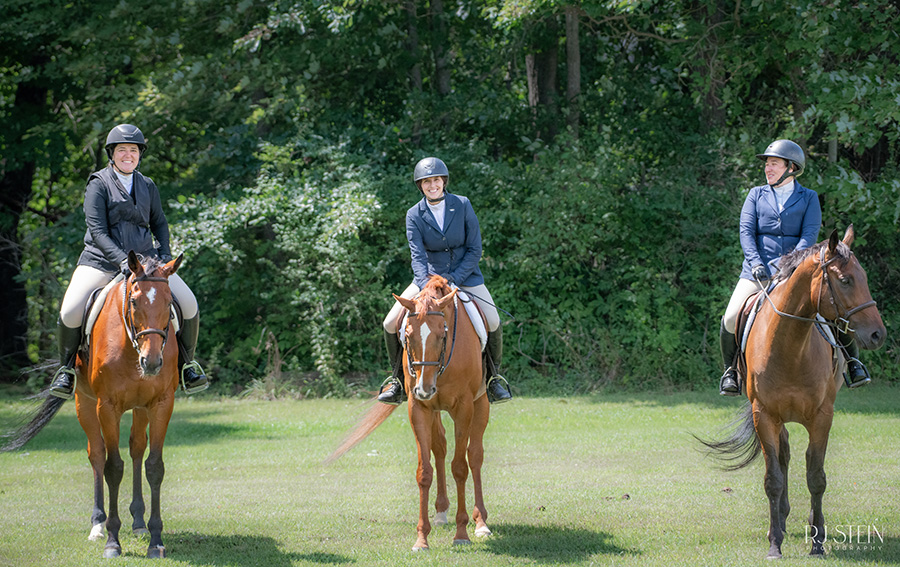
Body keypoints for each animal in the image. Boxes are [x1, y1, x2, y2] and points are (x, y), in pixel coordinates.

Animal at [0, 252, 185, 560]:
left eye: (169, 302)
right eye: (134, 301)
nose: (152, 362)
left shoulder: (161, 405)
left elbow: (154, 467)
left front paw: (156, 540)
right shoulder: (106, 407)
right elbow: (113, 467)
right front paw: (112, 541)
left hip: (140, 408)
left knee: (136, 449)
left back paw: (138, 523)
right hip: (84, 404)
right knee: (97, 454)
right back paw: (98, 525)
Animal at [326, 276, 492, 552]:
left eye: (442, 333)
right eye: (407, 335)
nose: (425, 388)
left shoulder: (464, 408)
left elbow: (460, 467)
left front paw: (461, 533)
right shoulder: (419, 409)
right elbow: (424, 472)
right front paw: (422, 539)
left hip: (481, 404)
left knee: (475, 455)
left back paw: (481, 523)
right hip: (434, 409)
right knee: (440, 447)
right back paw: (441, 512)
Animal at [696, 226, 884, 560]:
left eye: (862, 277)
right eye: (845, 280)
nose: (878, 335)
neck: (790, 347)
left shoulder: (822, 417)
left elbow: (816, 477)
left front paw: (818, 542)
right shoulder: (764, 414)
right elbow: (773, 478)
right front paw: (775, 544)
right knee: (782, 456)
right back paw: (780, 520)